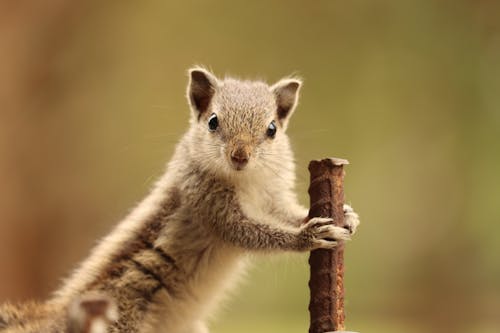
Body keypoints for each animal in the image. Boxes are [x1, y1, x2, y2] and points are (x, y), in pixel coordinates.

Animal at [0, 66, 360, 330]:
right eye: (213, 121)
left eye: (272, 129)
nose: (239, 156)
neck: (246, 181)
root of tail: (54, 319)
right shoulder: (207, 202)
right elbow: (245, 232)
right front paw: (307, 236)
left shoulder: (272, 197)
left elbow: (286, 212)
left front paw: (345, 215)